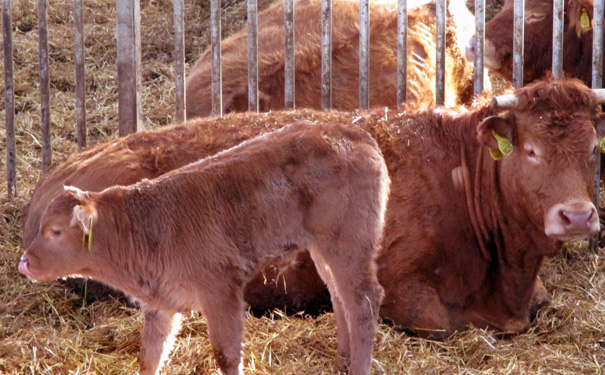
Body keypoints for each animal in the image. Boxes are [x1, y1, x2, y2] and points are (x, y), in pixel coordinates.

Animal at [18, 122, 390, 375]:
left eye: (55, 231)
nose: (25, 262)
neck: (141, 227)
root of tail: (352, 132)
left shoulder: (221, 291)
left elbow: (226, 355)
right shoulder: (161, 304)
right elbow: (150, 355)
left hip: (349, 242)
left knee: (364, 301)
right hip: (324, 248)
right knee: (340, 298)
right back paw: (342, 361)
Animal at [21, 78, 600, 338]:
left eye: (594, 147)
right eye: (530, 150)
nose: (576, 215)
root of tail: (55, 178)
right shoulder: (396, 285)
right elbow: (438, 322)